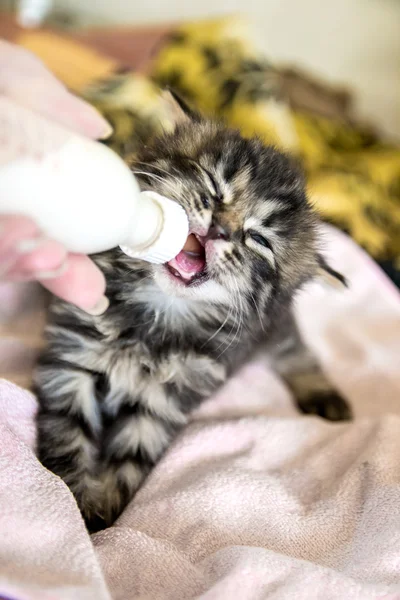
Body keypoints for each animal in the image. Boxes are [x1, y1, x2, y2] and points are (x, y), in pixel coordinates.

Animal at [36, 90, 352, 528]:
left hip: (277, 327)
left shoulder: (164, 401)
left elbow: (130, 459)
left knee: (297, 351)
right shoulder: (72, 365)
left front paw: (103, 517)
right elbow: (68, 439)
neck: (155, 314)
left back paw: (325, 396)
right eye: (214, 185)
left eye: (258, 239)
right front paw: (78, 509)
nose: (220, 228)